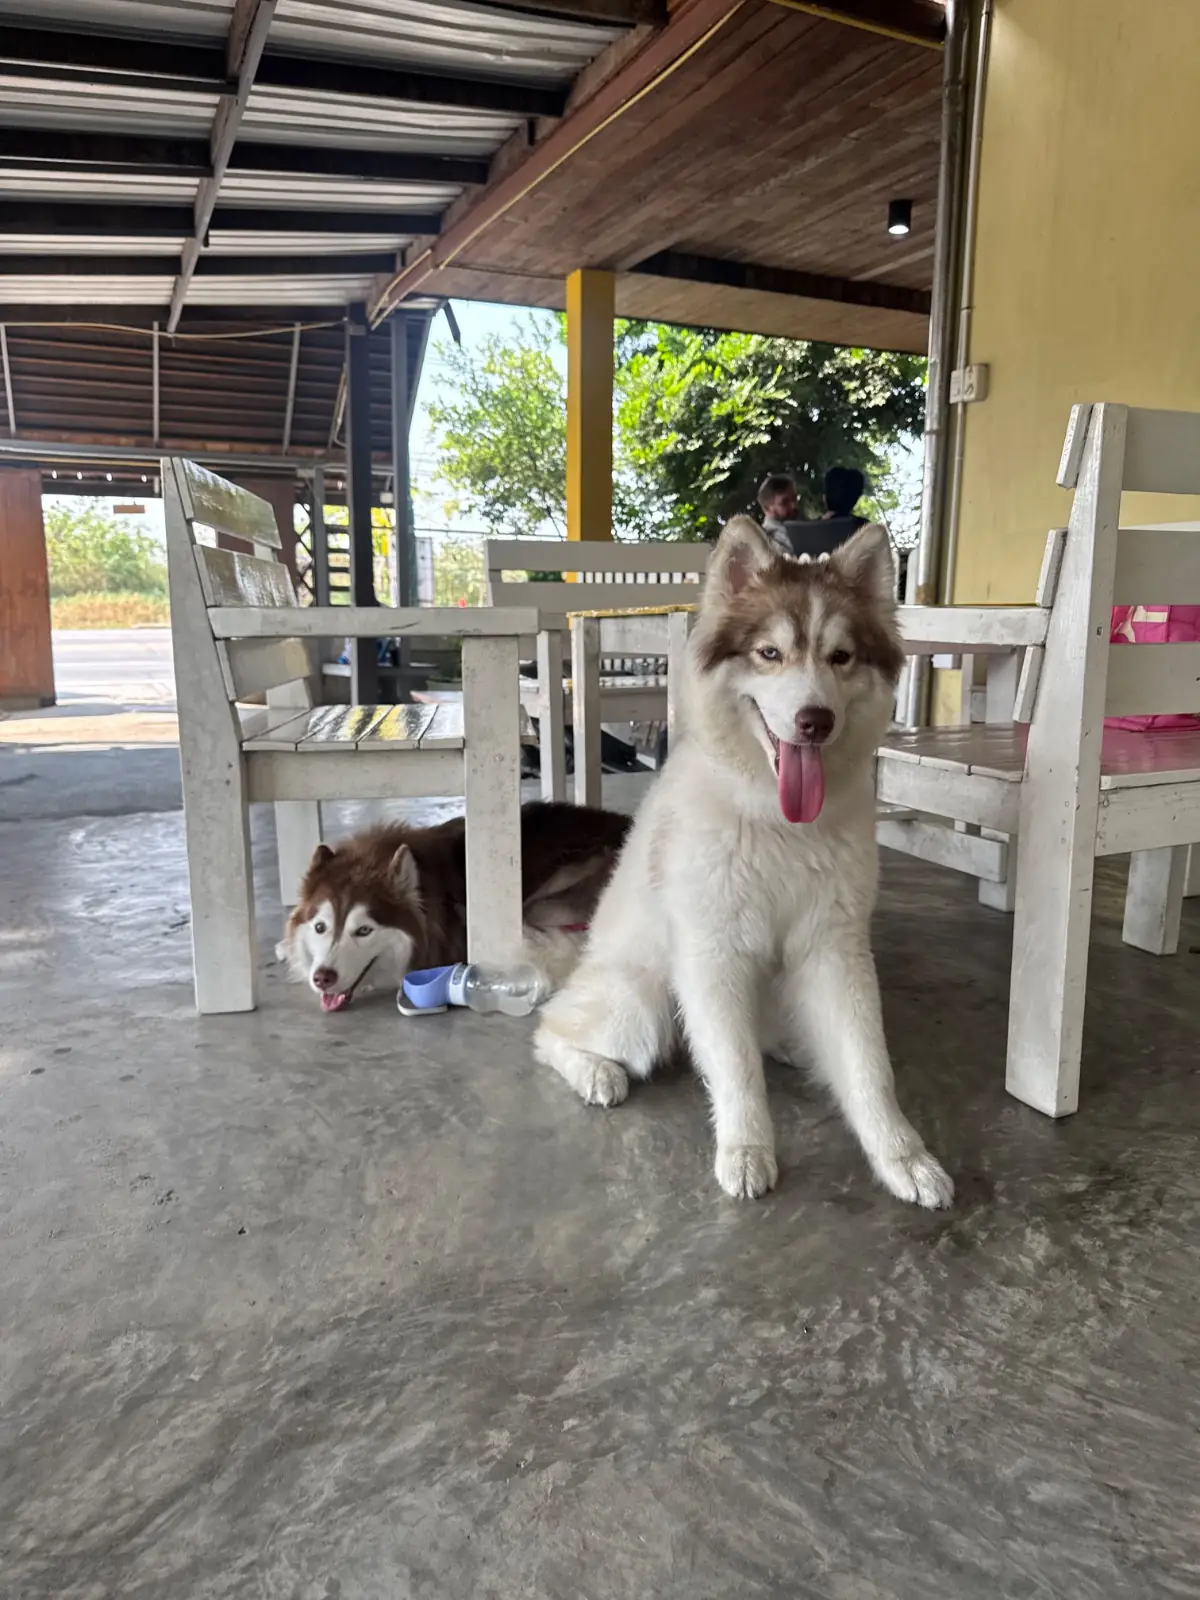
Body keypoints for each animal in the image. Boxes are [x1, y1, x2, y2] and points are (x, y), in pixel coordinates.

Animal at [535, 517, 953, 1208]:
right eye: (769, 654)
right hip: (641, 1004)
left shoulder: (836, 949)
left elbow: (870, 1065)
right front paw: (746, 1150)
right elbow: (734, 1069)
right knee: (550, 1030)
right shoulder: (713, 955)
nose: (815, 721)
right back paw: (595, 1072)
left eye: (840, 657)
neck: (777, 823)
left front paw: (904, 1157)